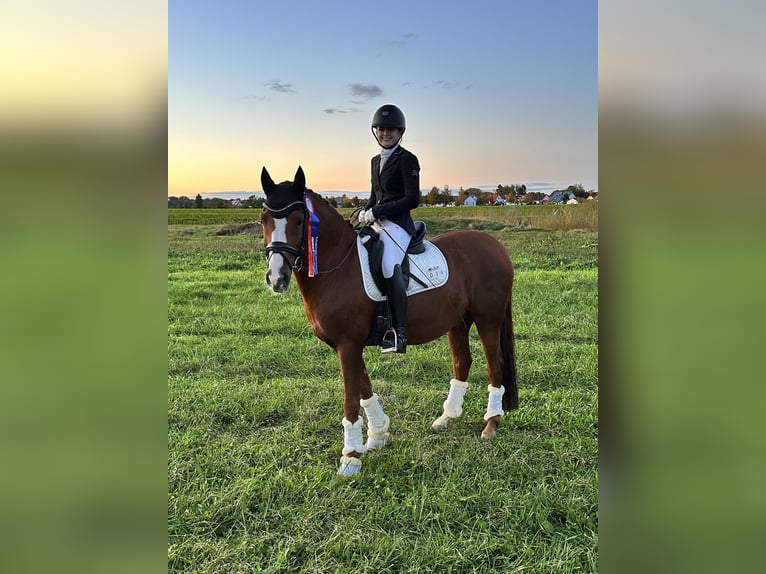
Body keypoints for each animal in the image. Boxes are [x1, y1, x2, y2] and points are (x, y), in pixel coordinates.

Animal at [260, 166, 520, 476]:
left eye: (299, 220)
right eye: (263, 219)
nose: (276, 278)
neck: (339, 266)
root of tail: (496, 245)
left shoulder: (348, 345)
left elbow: (351, 397)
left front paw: (350, 457)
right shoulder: (348, 345)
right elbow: (365, 388)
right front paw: (378, 434)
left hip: (488, 320)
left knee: (495, 364)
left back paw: (491, 423)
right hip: (458, 322)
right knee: (462, 362)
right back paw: (447, 417)